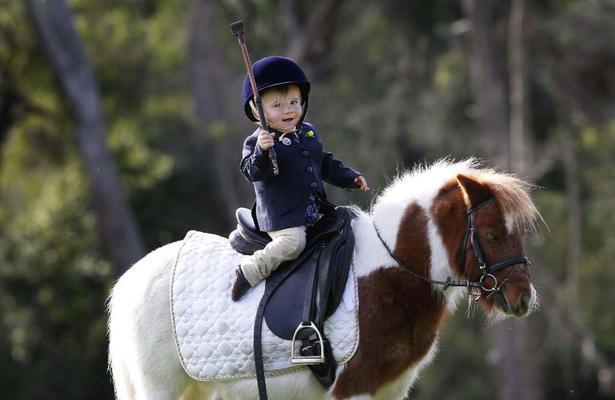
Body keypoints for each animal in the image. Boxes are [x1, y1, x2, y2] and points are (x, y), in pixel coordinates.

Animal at [108, 159, 540, 400]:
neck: (391, 272)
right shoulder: (356, 390)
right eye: (492, 234)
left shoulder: (391, 391)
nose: (523, 298)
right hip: (161, 390)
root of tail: (131, 281)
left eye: (519, 232)